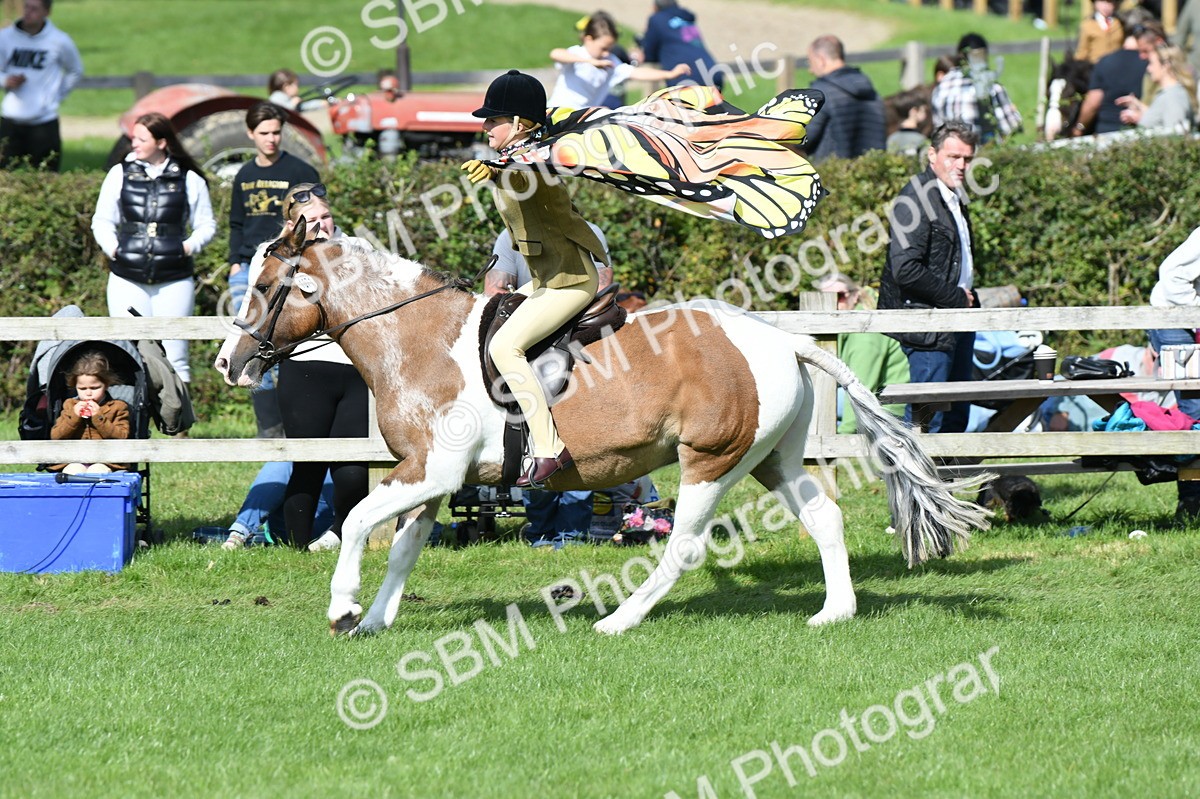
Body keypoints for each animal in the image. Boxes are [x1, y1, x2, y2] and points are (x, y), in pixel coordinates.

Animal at [215, 223, 991, 636]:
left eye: (264, 288)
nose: (228, 361)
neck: (421, 339)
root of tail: (781, 339)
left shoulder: (432, 471)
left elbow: (353, 522)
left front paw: (343, 608)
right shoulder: (432, 480)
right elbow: (403, 548)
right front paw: (375, 618)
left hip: (711, 460)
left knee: (682, 547)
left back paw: (619, 620)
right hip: (774, 458)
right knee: (824, 515)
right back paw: (836, 611)